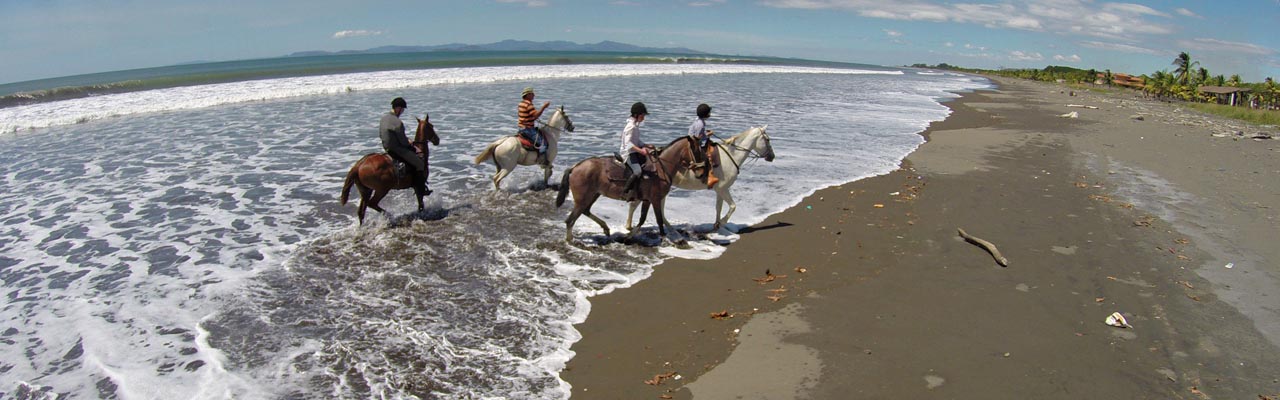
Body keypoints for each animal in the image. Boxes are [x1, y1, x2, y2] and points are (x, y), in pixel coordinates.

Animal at [555, 135, 701, 242]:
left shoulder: (647, 200)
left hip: (593, 194)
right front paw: (664, 238)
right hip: (582, 199)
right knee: (570, 220)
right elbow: (659, 220)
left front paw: (627, 237)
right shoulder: (655, 199)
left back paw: (605, 228)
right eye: (697, 150)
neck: (661, 169)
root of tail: (575, 167)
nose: (700, 172)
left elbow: (642, 219)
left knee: (585, 211)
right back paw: (570, 239)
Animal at [624, 125, 773, 230]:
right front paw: (722, 223)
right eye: (767, 139)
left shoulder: (720, 189)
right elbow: (733, 206)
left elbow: (718, 207)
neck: (730, 156)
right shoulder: (723, 189)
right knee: (635, 204)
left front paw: (716, 225)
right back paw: (630, 226)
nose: (772, 156)